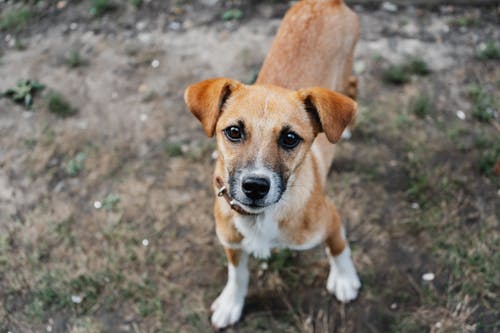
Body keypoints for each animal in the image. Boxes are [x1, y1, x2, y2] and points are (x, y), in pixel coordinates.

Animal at [184, 0, 360, 326]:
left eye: (290, 138)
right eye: (234, 131)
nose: (255, 186)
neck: (260, 218)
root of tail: (327, 3)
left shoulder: (330, 219)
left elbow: (339, 247)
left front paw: (344, 279)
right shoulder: (231, 242)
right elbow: (237, 274)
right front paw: (231, 302)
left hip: (345, 69)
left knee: (353, 87)